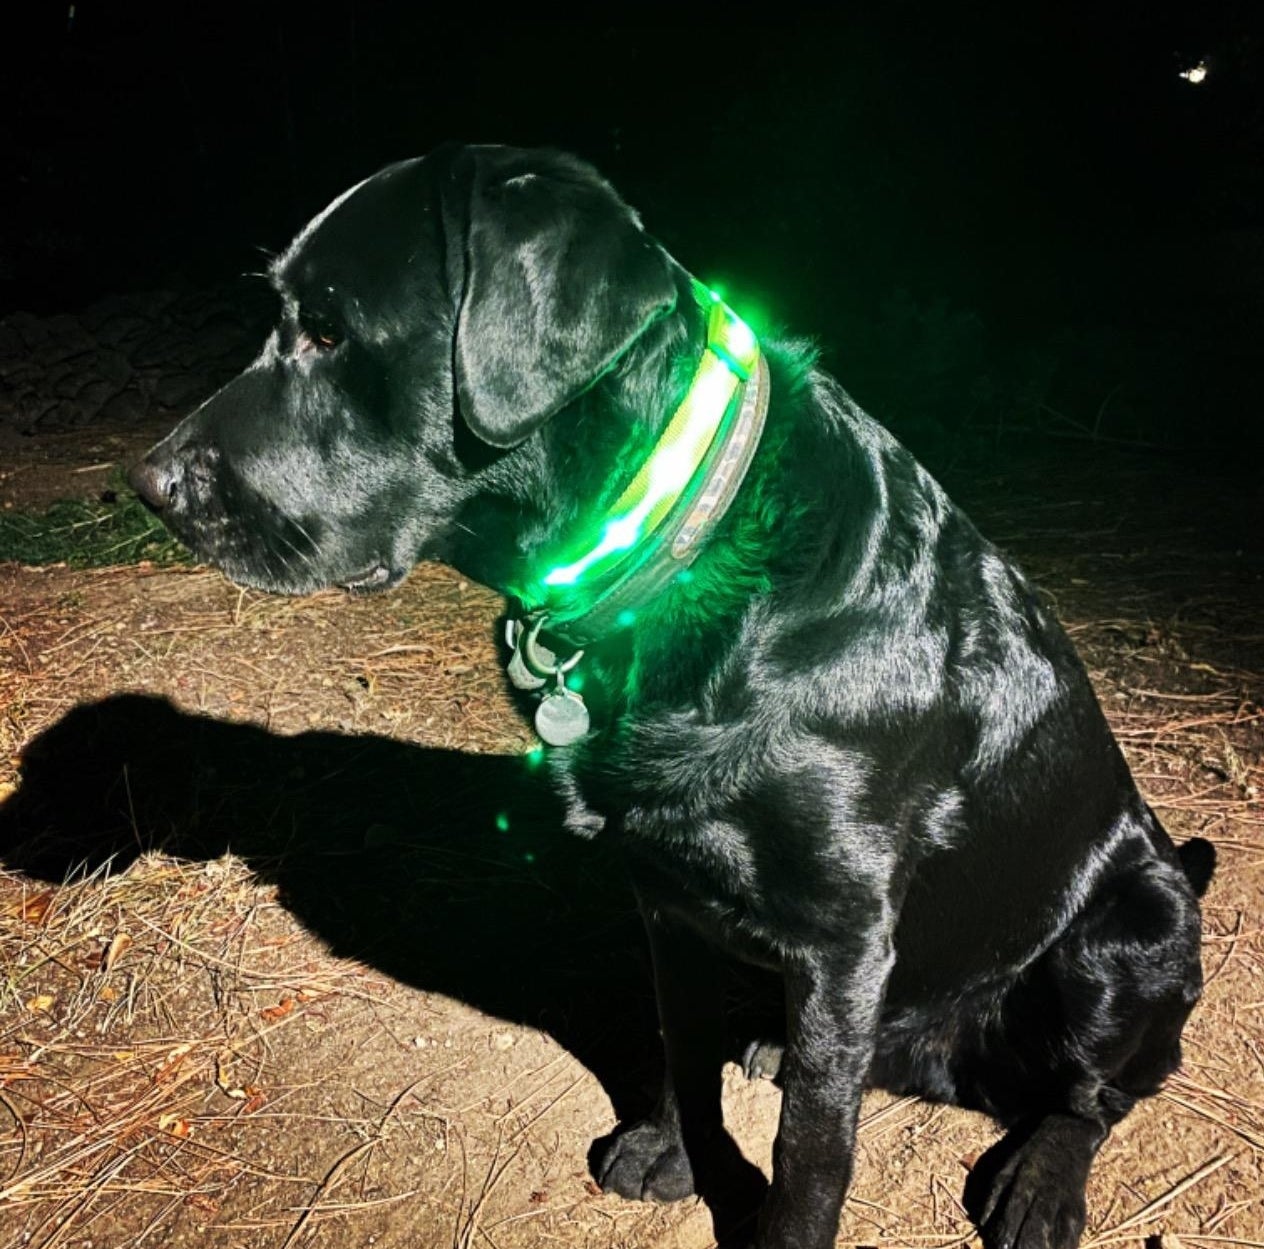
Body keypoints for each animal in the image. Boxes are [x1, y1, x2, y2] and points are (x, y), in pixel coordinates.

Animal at [133, 146, 1208, 1249]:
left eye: (331, 332)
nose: (150, 483)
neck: (679, 545)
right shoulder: (666, 892)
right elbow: (677, 1041)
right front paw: (672, 1147)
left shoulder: (842, 930)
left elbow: (812, 1143)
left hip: (1136, 925)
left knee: (1091, 1096)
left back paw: (1040, 1182)